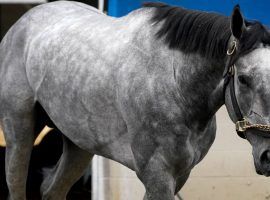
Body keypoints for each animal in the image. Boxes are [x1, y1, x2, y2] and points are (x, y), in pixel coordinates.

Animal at [1, 1, 270, 200]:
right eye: (243, 79)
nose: (268, 156)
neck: (175, 83)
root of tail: (20, 24)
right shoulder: (156, 174)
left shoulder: (179, 175)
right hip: (19, 135)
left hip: (78, 145)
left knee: (52, 190)